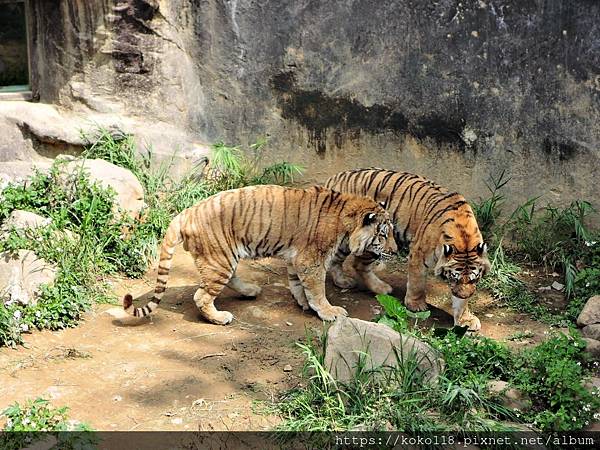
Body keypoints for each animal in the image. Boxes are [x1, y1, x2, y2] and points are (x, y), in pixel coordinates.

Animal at [122, 185, 394, 326]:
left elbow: (298, 285)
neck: (346, 219)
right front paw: (329, 312)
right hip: (220, 258)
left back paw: (250, 291)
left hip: (223, 258)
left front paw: (304, 304)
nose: (394, 250)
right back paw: (220, 318)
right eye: (383, 235)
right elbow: (317, 290)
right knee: (201, 295)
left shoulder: (297, 259)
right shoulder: (312, 260)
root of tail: (186, 212)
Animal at [326, 169, 490, 330]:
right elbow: (417, 283)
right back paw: (349, 282)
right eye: (454, 278)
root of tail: (335, 177)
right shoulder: (419, 254)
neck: (464, 237)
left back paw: (379, 288)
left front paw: (465, 318)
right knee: (347, 262)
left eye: (474, 279)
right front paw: (416, 305)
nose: (464, 295)